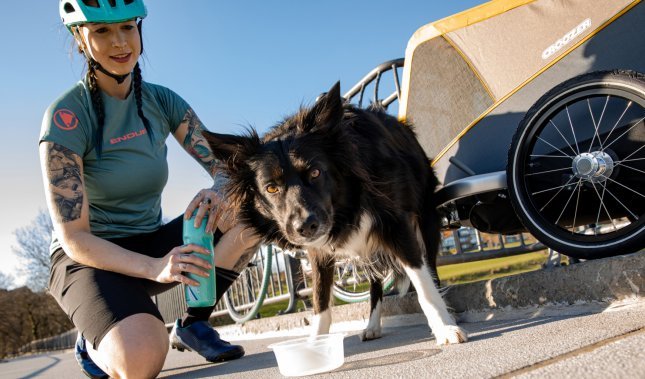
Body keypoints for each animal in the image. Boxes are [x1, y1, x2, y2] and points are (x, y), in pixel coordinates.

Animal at [206, 84, 468, 348]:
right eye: (271, 188)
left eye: (315, 172)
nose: (306, 226)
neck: (347, 201)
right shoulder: (317, 251)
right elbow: (320, 300)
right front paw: (315, 345)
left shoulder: (396, 224)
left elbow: (423, 284)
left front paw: (444, 328)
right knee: (375, 284)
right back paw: (372, 326)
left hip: (426, 220)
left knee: (431, 269)